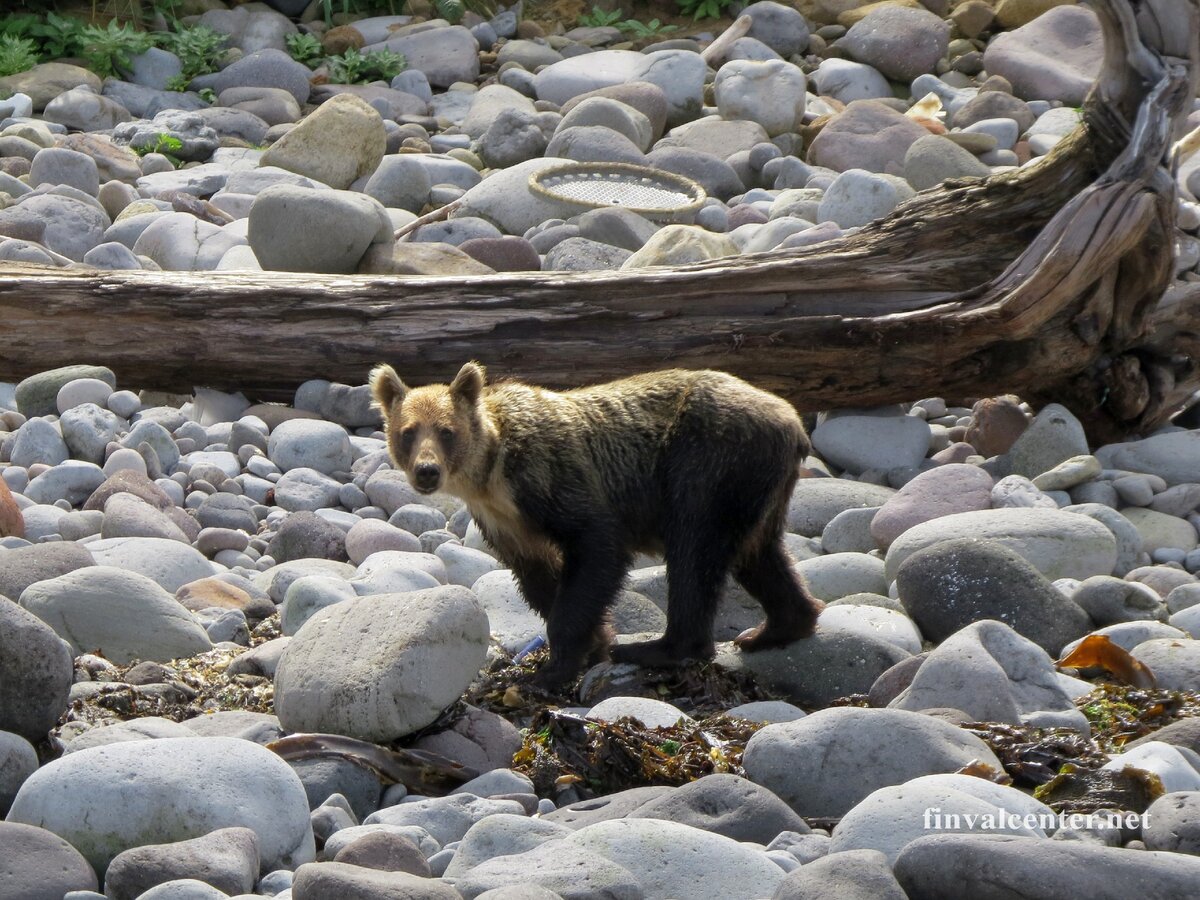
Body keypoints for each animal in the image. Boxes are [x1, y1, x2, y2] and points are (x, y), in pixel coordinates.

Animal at [369, 362, 820, 686]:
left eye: (446, 431)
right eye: (408, 432)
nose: (427, 471)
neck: (490, 473)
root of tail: (793, 421)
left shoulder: (551, 478)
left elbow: (596, 546)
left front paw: (555, 666)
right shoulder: (504, 520)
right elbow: (538, 577)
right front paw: (595, 644)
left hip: (708, 459)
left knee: (694, 548)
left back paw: (661, 647)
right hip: (755, 484)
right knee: (758, 554)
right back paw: (774, 628)